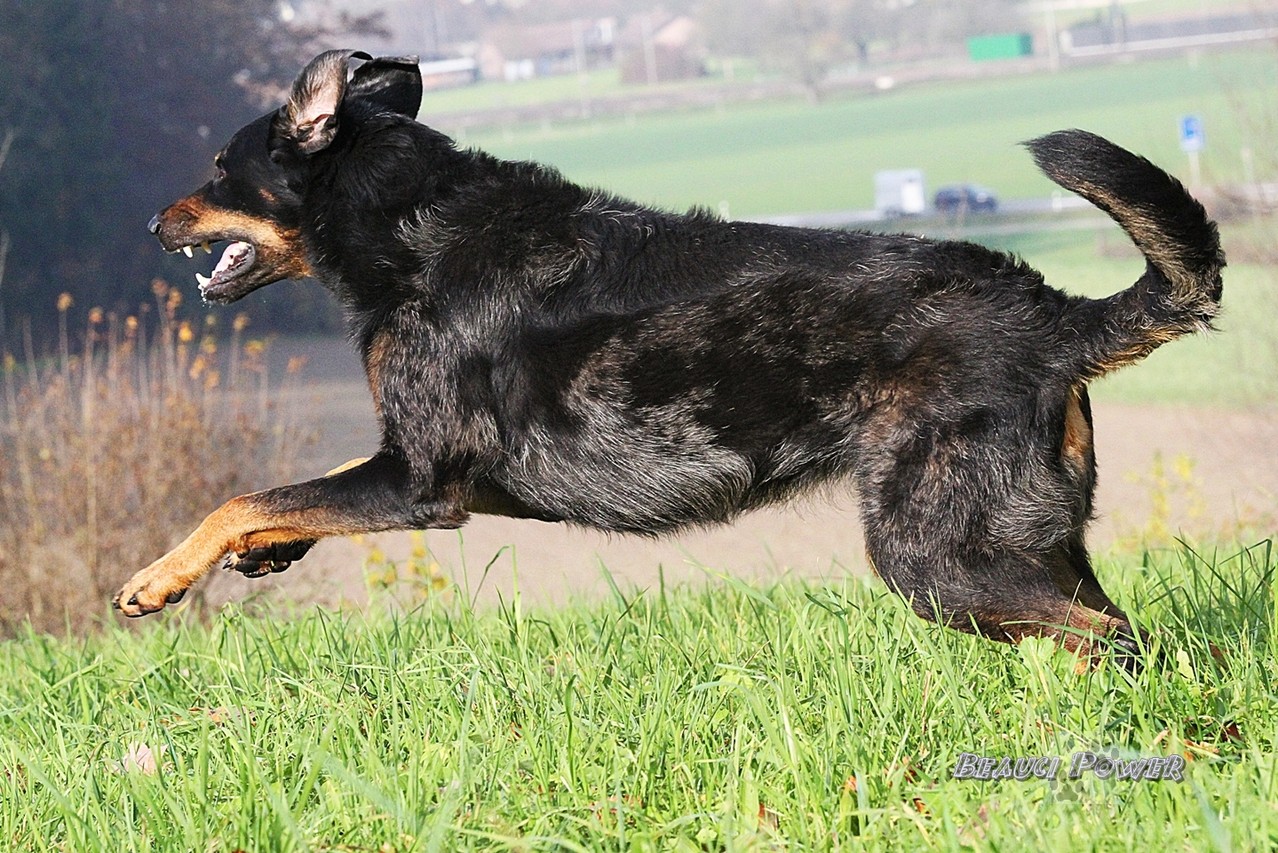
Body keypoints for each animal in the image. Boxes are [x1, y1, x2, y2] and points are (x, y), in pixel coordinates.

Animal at [117, 50, 1224, 662]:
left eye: (218, 168)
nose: (151, 220)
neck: (409, 223)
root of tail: (1051, 309)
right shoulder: (414, 469)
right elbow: (285, 495)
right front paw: (263, 554)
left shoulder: (420, 480)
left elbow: (244, 496)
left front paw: (157, 579)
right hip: (1025, 545)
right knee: (1101, 629)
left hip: (936, 554)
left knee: (1117, 640)